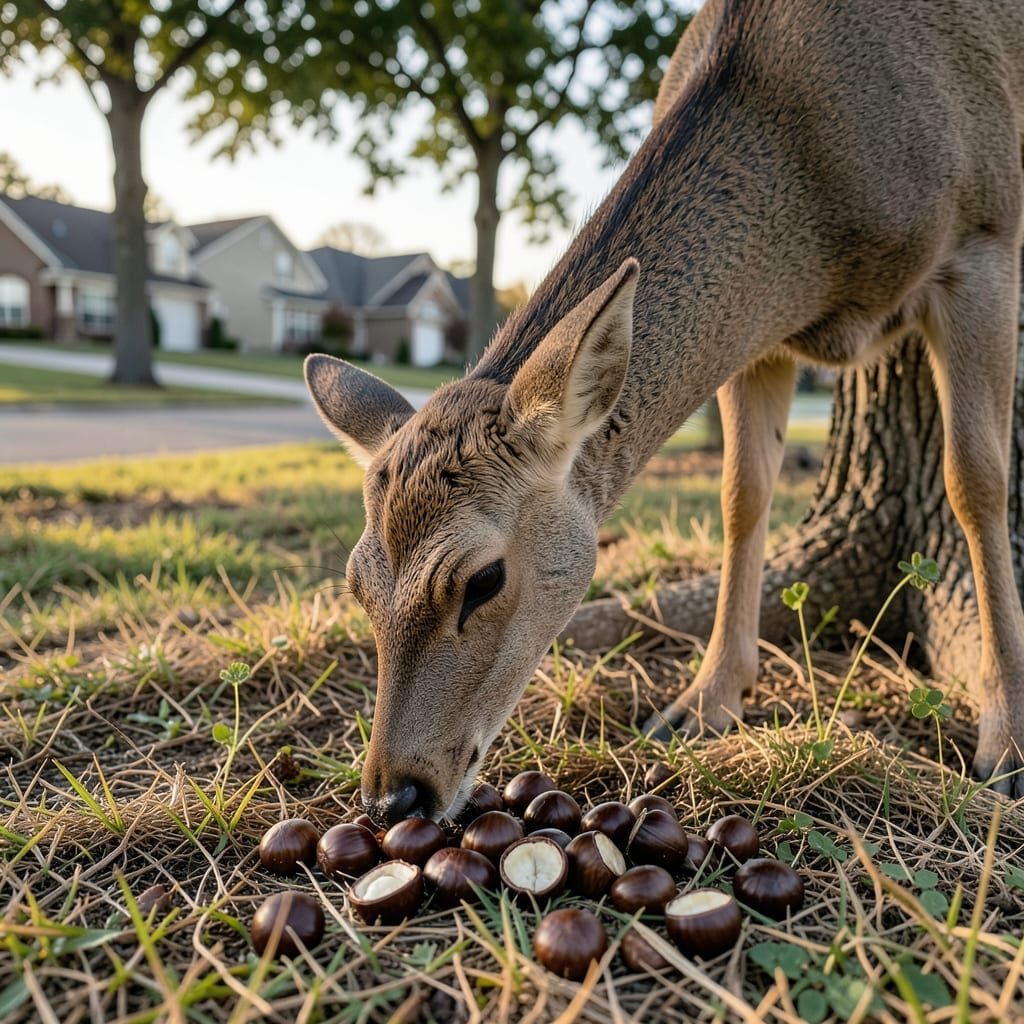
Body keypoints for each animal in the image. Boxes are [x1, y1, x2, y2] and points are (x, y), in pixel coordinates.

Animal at [306, 0, 1024, 825]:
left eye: (483, 579)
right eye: (358, 585)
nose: (393, 795)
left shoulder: (986, 234)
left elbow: (976, 481)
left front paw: (1007, 744)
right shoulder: (757, 336)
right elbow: (744, 494)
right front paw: (704, 704)